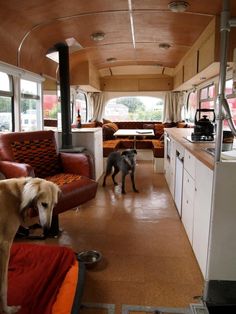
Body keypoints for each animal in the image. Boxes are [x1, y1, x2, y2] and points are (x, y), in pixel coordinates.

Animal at [0, 178, 60, 312]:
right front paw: (7, 310)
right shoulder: (4, 245)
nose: (47, 229)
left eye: (54, 205)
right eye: (44, 204)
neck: (18, 194)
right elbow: (3, 285)